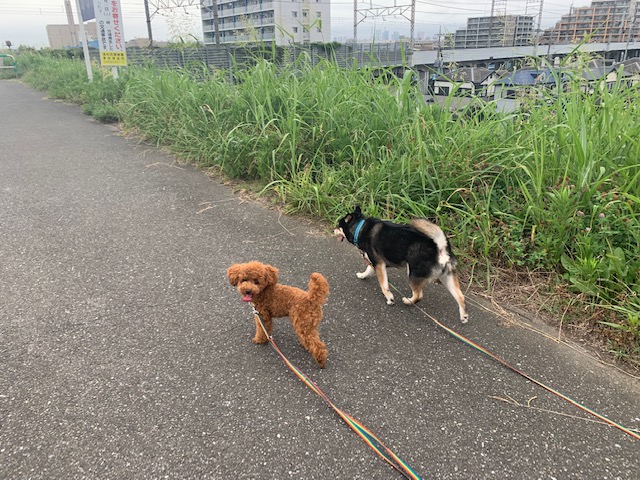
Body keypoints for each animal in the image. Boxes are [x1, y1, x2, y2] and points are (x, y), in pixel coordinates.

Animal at [335, 206, 468, 323]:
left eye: (338, 225)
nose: (333, 229)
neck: (360, 228)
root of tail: (440, 247)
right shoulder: (375, 264)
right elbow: (368, 269)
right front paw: (362, 275)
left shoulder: (379, 264)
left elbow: (384, 285)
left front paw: (389, 298)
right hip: (448, 277)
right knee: (460, 297)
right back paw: (464, 316)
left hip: (413, 274)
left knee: (419, 295)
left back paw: (408, 301)